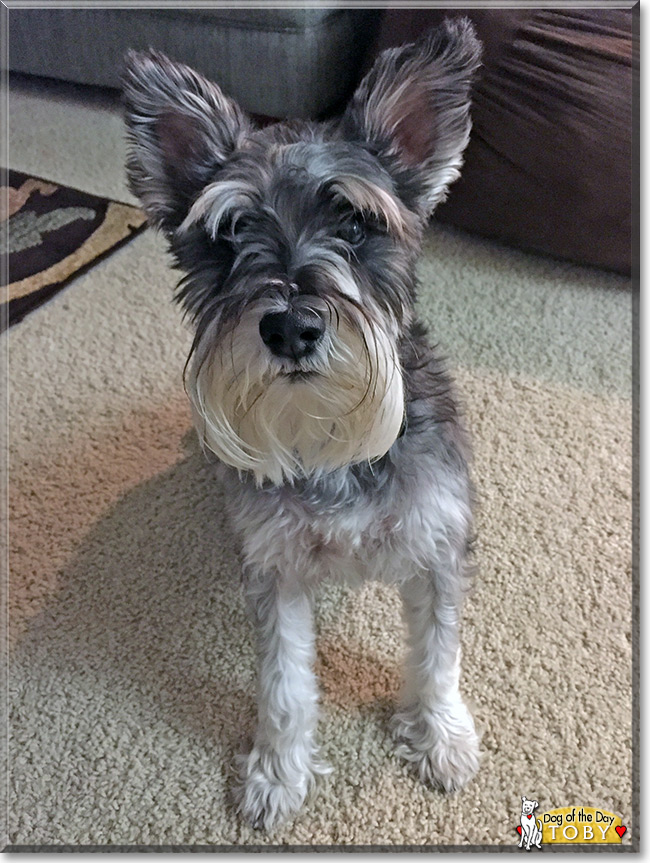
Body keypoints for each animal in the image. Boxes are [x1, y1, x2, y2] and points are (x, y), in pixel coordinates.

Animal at [123, 18, 480, 832]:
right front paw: (276, 775)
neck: (325, 444)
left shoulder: (438, 545)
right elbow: (283, 682)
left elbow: (437, 653)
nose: (290, 326)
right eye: (227, 234)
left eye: (354, 221)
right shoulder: (275, 571)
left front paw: (440, 737)